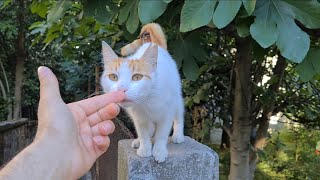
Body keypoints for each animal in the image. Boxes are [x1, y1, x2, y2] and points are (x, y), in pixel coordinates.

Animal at [100, 22, 185, 163]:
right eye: (113, 77)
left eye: (137, 77)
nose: (121, 89)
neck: (147, 100)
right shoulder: (139, 117)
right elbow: (143, 132)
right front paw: (145, 148)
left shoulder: (166, 113)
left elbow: (162, 133)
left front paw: (159, 151)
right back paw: (140, 141)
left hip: (176, 98)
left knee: (178, 116)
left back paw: (178, 135)